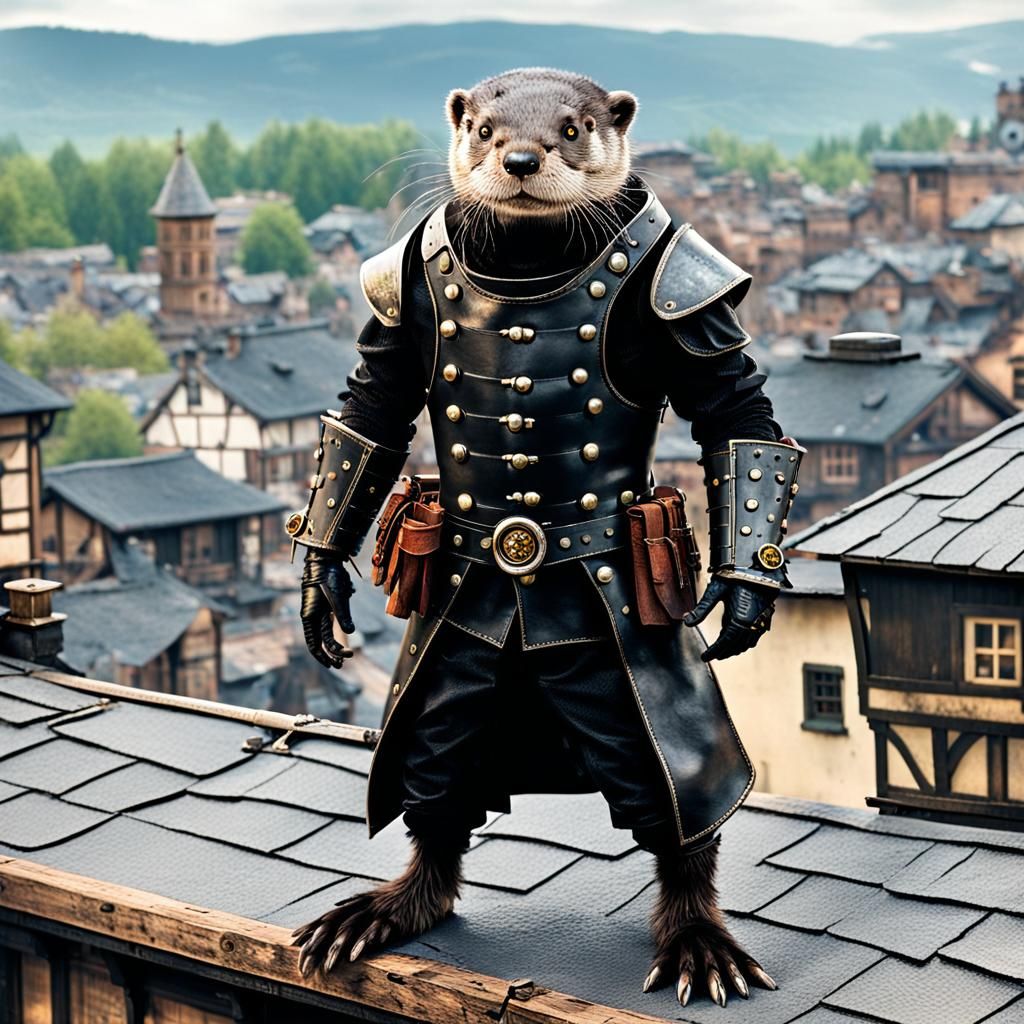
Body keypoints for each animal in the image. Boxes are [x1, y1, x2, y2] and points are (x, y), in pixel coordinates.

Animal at [291, 67, 792, 1011]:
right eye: (485, 129)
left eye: (573, 127)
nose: (520, 161)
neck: (527, 258)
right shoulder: (394, 297)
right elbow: (371, 408)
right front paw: (319, 585)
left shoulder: (691, 292)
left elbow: (735, 410)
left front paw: (742, 602)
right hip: (449, 661)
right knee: (435, 768)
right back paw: (398, 905)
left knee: (678, 800)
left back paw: (697, 935)